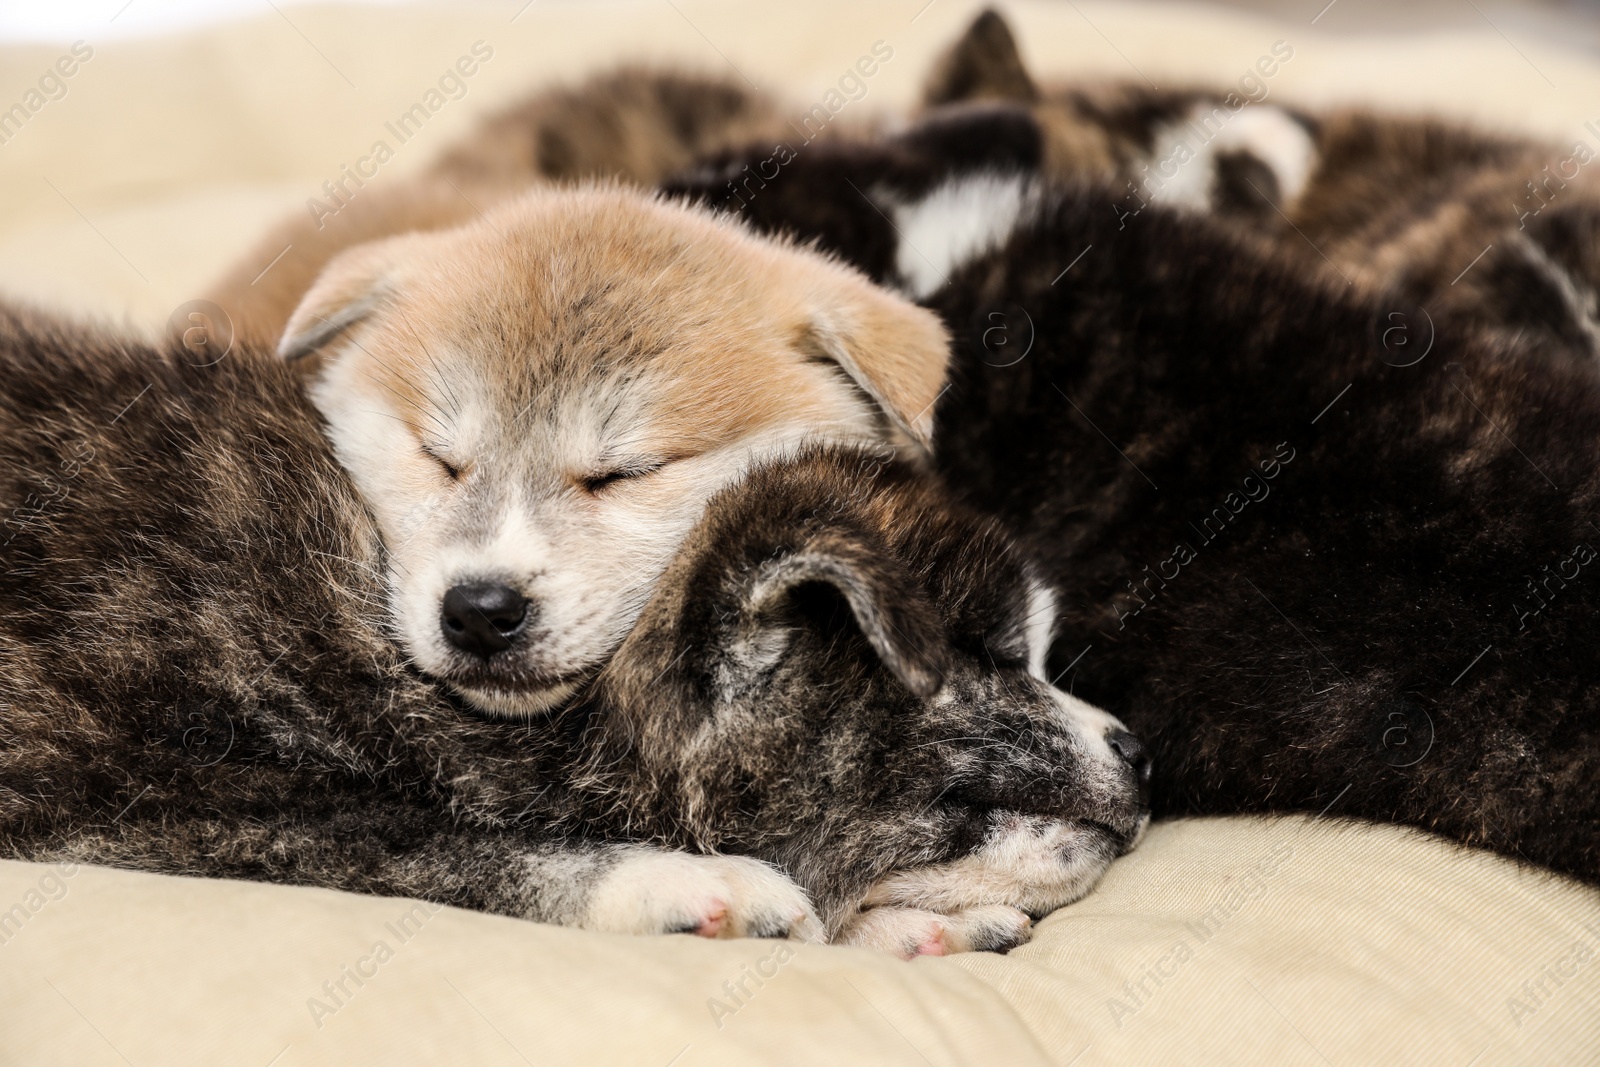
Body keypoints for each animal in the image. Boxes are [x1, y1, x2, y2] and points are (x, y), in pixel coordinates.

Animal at [0, 303, 1152, 953]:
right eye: (994, 655)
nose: (1139, 747)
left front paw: (904, 923)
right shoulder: (87, 791)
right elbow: (410, 842)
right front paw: (679, 879)